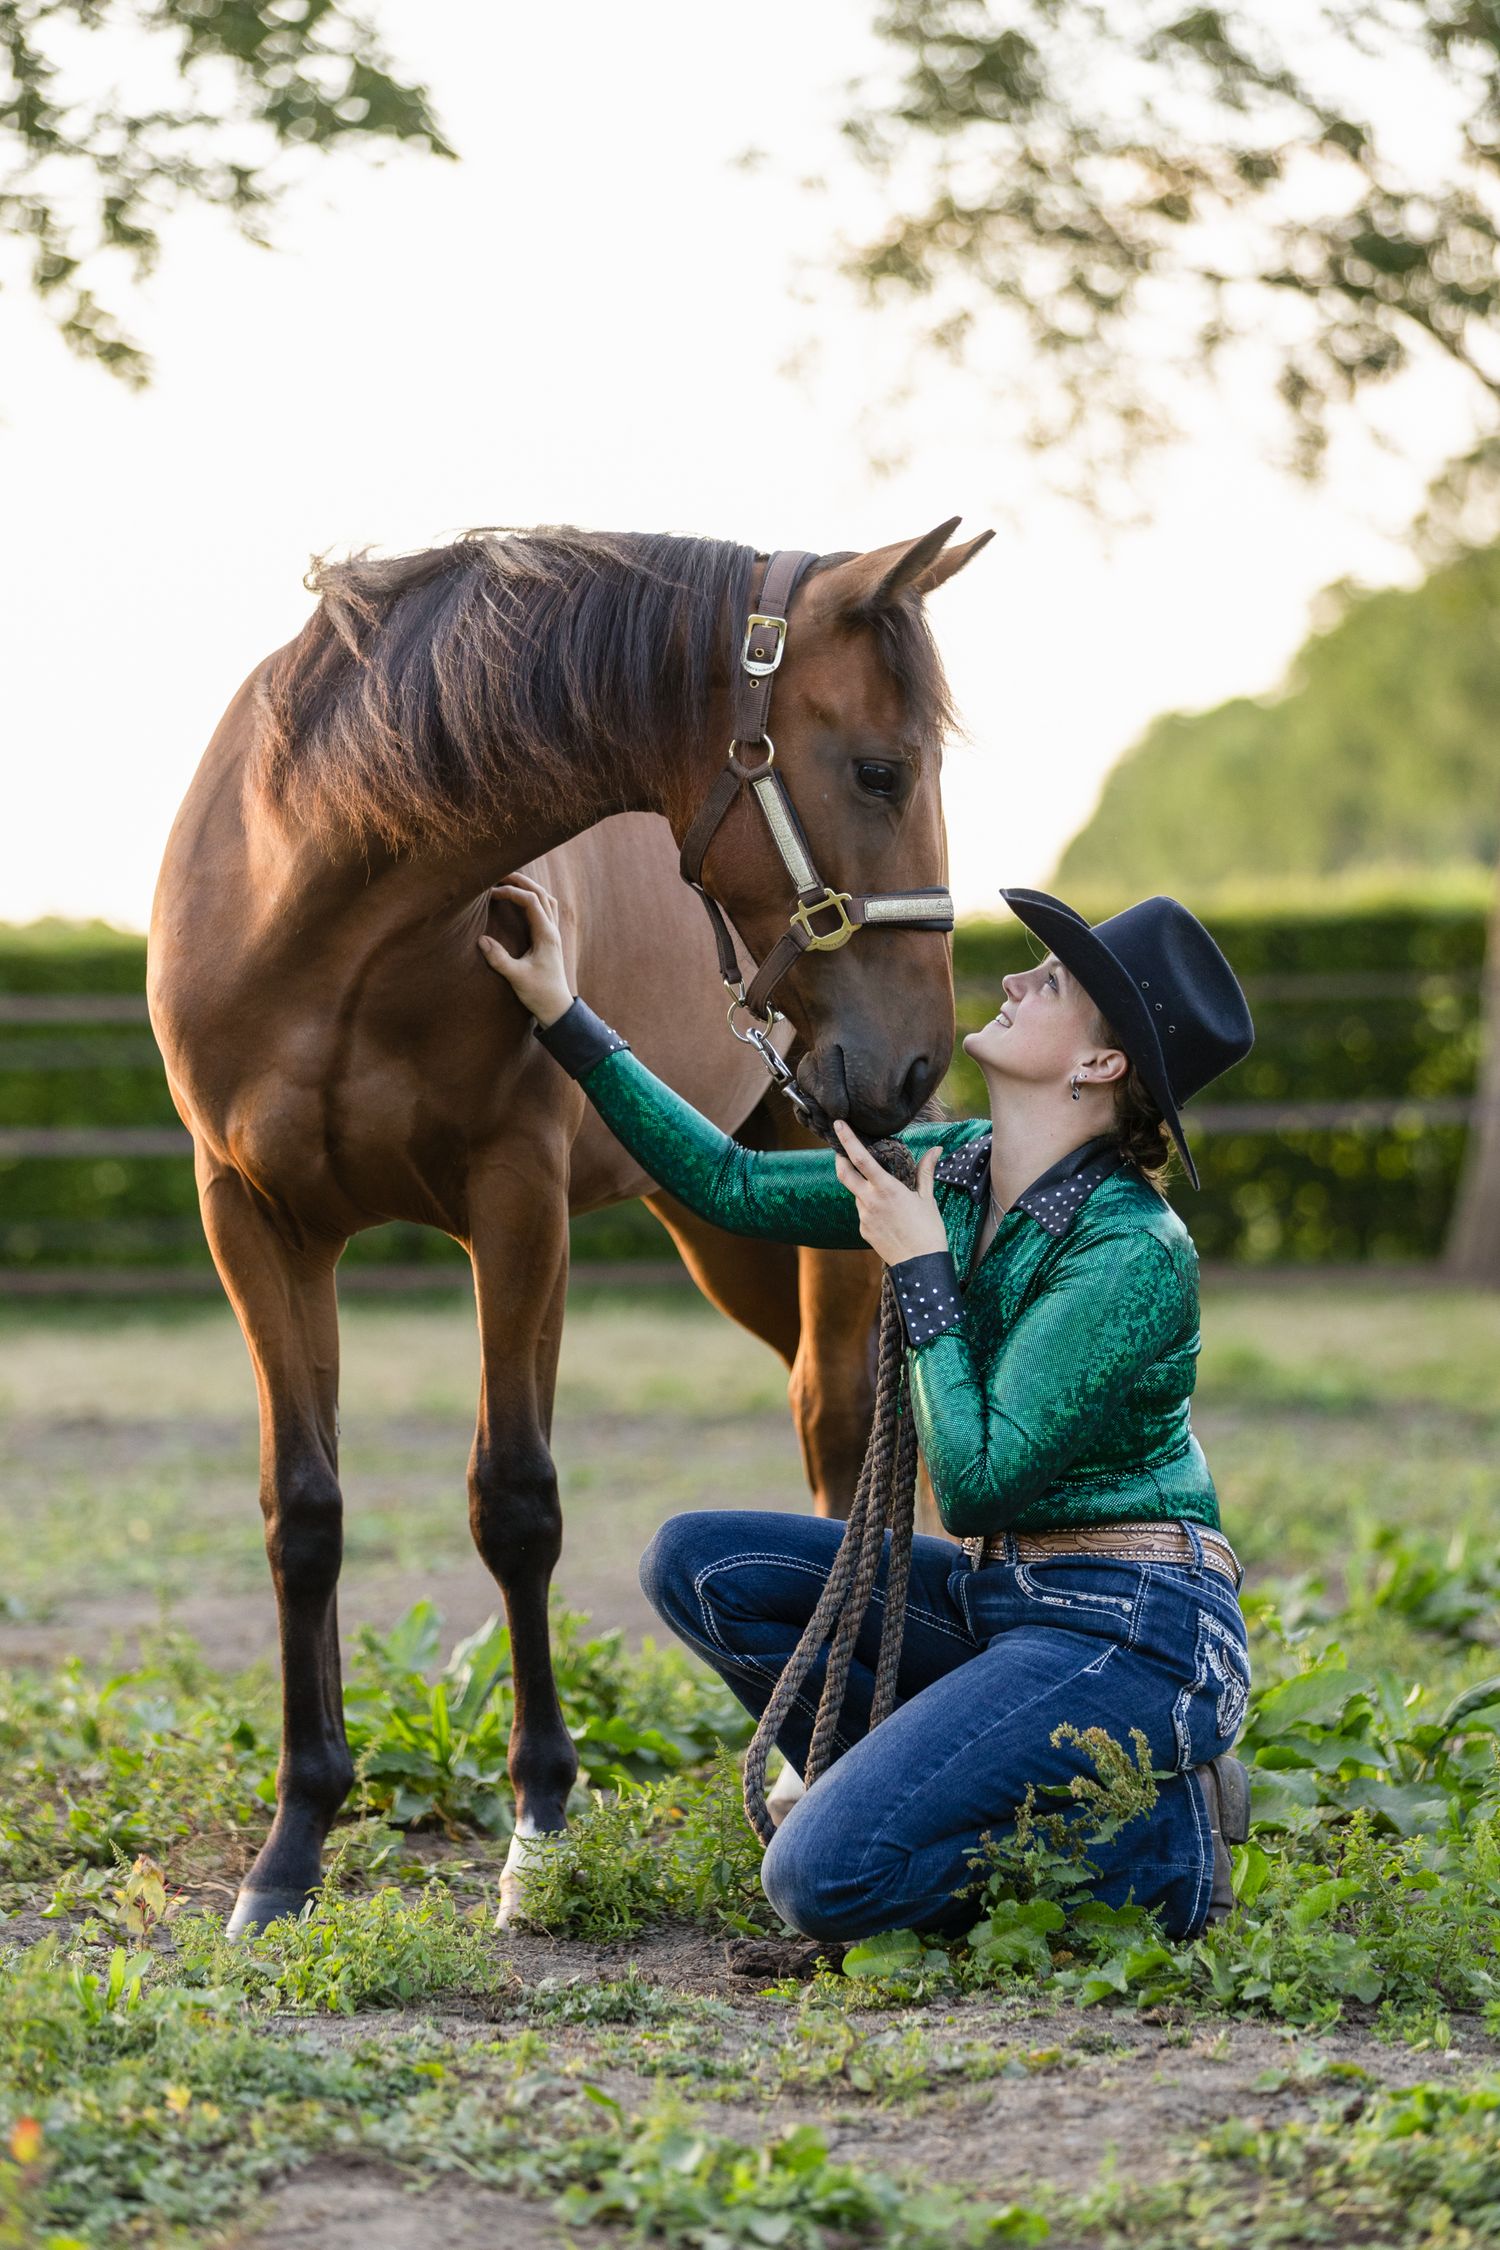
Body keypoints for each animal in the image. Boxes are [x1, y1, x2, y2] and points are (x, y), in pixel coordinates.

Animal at [147, 520, 990, 1933]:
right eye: (880, 771)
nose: (922, 1060)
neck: (323, 910)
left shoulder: (518, 1205)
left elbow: (516, 1502)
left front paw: (541, 1826)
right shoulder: (252, 1220)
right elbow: (303, 1512)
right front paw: (292, 1850)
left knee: (836, 1419)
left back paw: (805, 1763)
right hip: (725, 1220)